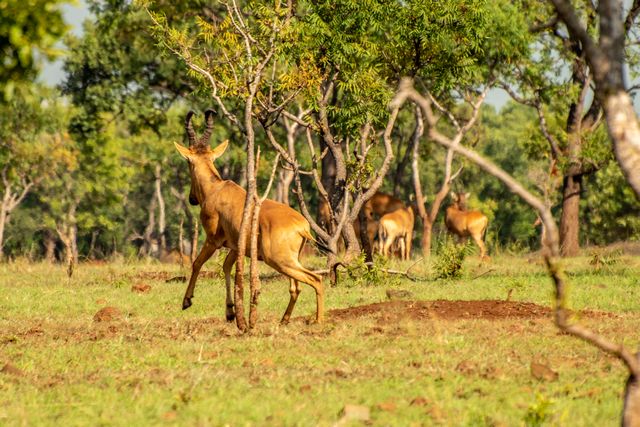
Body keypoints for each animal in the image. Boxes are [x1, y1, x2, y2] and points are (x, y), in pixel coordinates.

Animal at [175, 110, 324, 324]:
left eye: (188, 162)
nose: (191, 199)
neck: (217, 189)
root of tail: (302, 227)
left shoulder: (213, 240)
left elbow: (196, 263)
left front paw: (187, 301)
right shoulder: (235, 246)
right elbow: (227, 267)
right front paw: (230, 312)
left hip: (279, 261)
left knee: (316, 279)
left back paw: (318, 320)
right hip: (290, 260)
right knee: (296, 287)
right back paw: (284, 320)